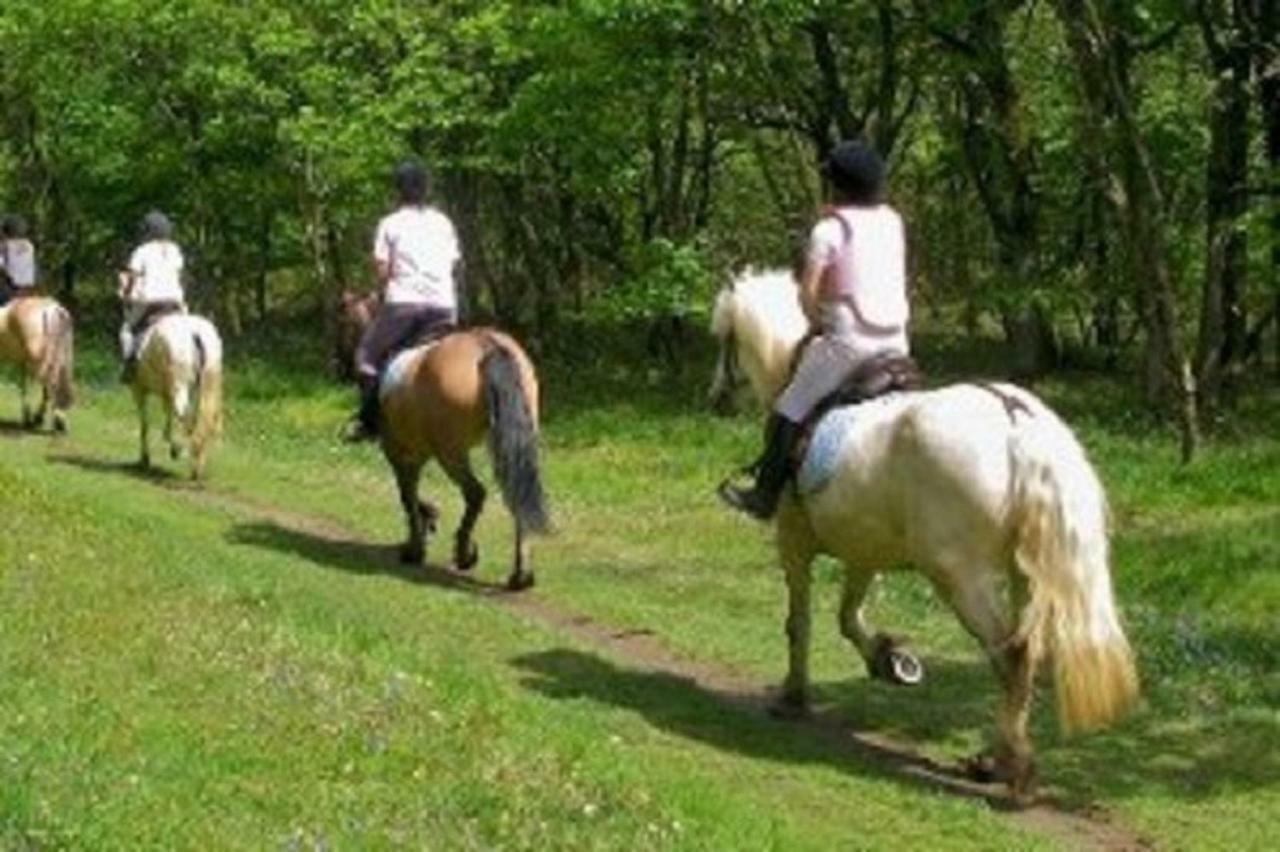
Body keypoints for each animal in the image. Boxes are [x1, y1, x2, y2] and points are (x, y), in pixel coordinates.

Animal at [0, 296, 74, 432]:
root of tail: (52, 309)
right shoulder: (23, 361)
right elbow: (24, 385)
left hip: (40, 360)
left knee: (50, 383)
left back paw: (47, 419)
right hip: (59, 356)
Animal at [129, 310, 225, 478]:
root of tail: (194, 333)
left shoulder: (139, 390)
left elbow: (145, 424)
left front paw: (145, 458)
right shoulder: (167, 393)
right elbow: (168, 417)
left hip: (180, 387)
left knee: (185, 417)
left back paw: (181, 451)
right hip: (206, 385)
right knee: (200, 420)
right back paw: (196, 464)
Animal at [373, 326, 545, 591]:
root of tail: (486, 344)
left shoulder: (400, 451)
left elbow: (407, 495)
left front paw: (415, 549)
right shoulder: (413, 453)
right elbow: (410, 494)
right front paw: (429, 520)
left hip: (450, 453)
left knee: (474, 493)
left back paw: (465, 554)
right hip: (512, 444)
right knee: (517, 497)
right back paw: (520, 576)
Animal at [711, 267, 1141, 798]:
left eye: (724, 338)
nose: (715, 397)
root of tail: (1019, 425)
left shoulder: (794, 542)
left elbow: (800, 622)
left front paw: (794, 696)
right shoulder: (864, 551)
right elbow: (848, 617)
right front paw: (890, 660)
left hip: (957, 574)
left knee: (1009, 654)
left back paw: (1009, 766)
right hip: (1025, 572)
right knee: (1023, 655)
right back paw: (997, 760)